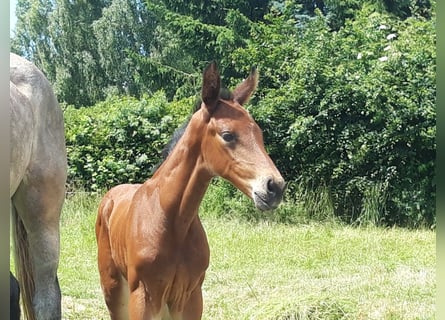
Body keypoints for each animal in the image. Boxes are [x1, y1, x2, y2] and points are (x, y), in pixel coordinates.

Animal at [96, 63, 284, 320]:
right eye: (227, 135)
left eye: (259, 134)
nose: (275, 187)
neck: (172, 220)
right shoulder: (144, 296)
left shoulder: (191, 295)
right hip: (113, 287)